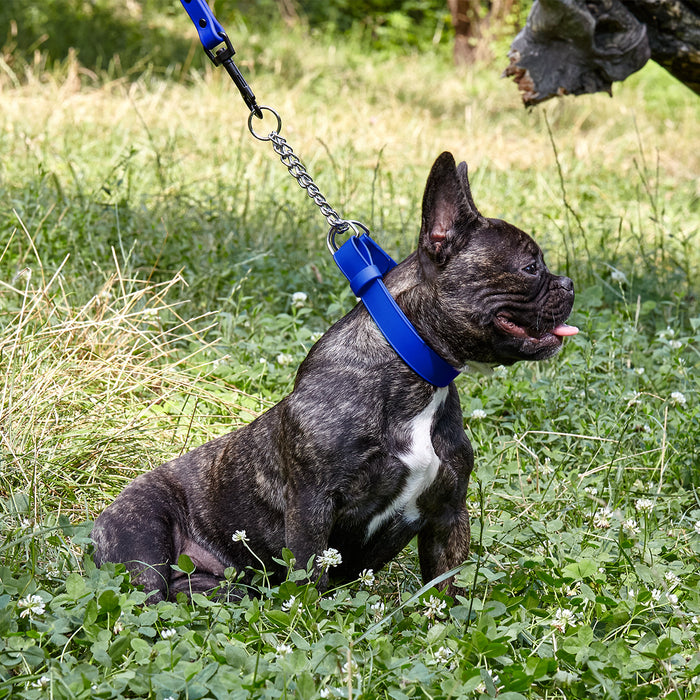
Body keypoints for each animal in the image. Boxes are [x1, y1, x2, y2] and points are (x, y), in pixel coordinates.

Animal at [91, 153, 576, 600]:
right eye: (530, 267)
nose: (568, 283)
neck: (414, 377)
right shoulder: (312, 507)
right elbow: (310, 577)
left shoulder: (449, 512)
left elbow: (446, 588)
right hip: (142, 537)